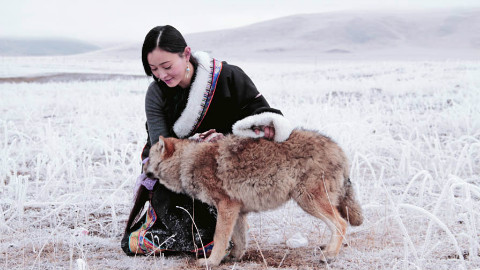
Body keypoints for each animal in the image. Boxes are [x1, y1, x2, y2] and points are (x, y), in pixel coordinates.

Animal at [144, 130, 362, 266]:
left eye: (148, 158)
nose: (142, 167)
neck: (187, 162)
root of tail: (339, 150)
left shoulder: (226, 206)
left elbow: (220, 238)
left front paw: (211, 262)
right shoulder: (237, 211)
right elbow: (238, 239)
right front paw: (234, 257)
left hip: (307, 201)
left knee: (341, 224)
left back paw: (330, 256)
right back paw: (328, 248)